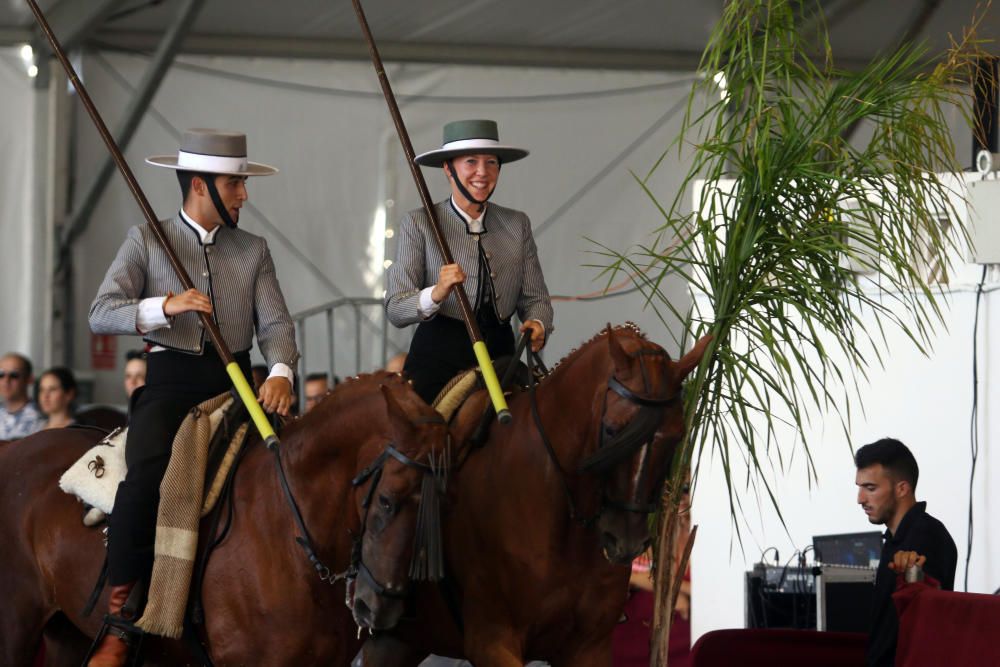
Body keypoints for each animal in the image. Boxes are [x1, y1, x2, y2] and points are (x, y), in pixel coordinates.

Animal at [0, 374, 448, 664]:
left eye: (445, 504)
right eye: (387, 501)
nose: (380, 607)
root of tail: (15, 448)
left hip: (66, 633)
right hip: (16, 629)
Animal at [360, 328, 712, 667]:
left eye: (678, 435)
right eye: (613, 430)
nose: (626, 542)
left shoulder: (589, 647)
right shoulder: (492, 641)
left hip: (399, 641)